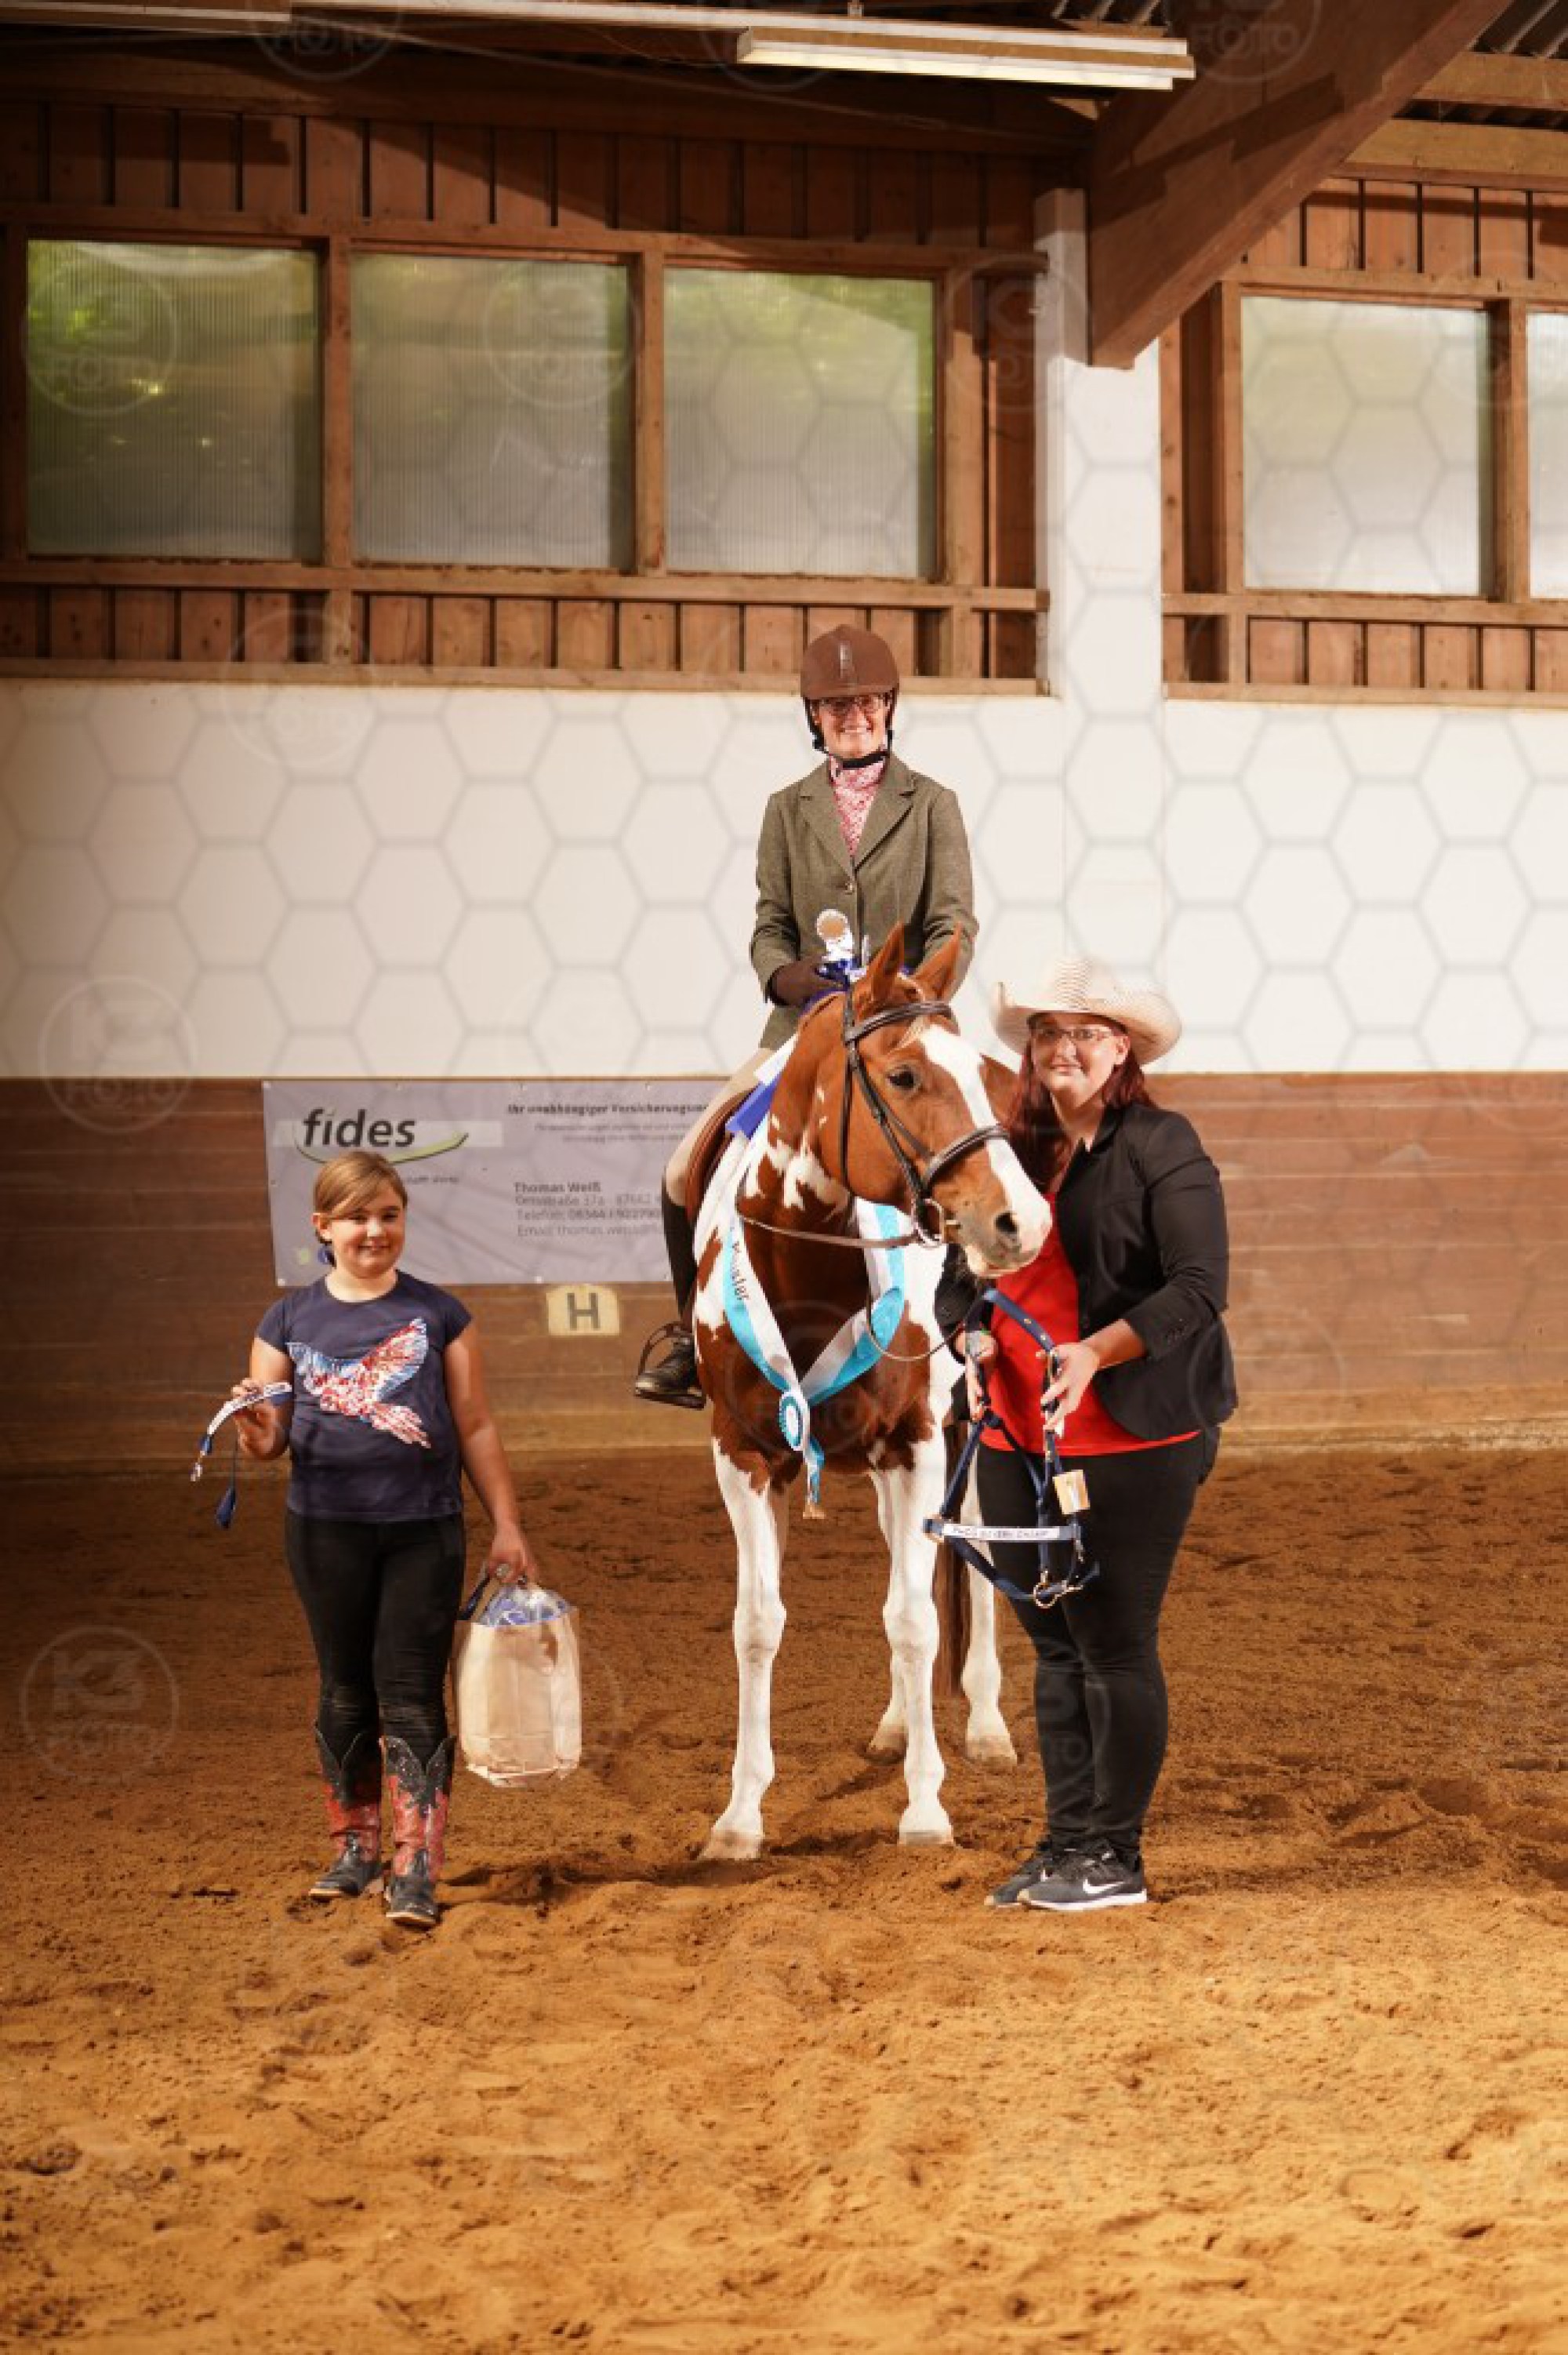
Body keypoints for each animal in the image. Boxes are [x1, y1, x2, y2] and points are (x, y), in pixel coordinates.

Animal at [690, 927, 1050, 1861]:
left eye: (974, 1077)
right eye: (904, 1076)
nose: (1020, 1221)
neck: (808, 1268)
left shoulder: (920, 1443)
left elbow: (914, 1618)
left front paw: (925, 1810)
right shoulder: (743, 1455)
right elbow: (758, 1623)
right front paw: (739, 1816)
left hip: (964, 1427)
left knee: (962, 1555)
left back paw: (986, 1727)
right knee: (902, 1556)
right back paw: (893, 1725)